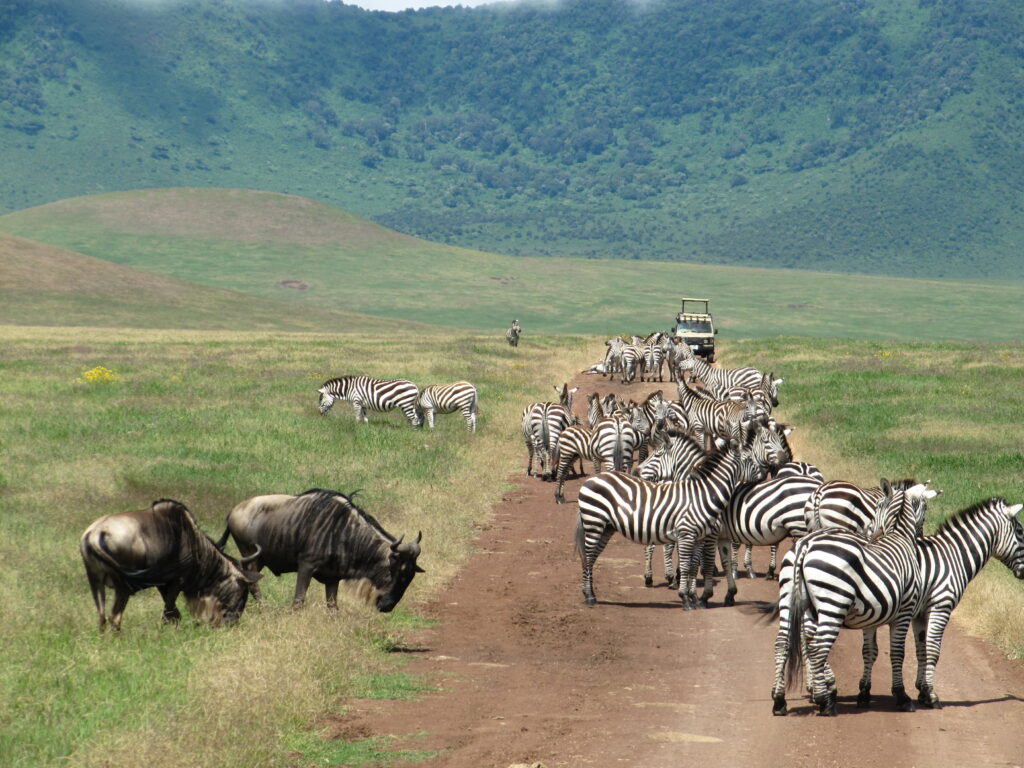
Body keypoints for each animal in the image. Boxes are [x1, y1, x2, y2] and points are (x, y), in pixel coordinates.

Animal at [573, 442, 765, 610]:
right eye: (749, 459)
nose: (763, 476)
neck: (704, 495)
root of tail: (591, 480)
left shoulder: (699, 538)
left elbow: (693, 566)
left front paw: (694, 598)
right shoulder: (687, 534)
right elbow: (688, 565)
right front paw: (685, 598)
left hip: (606, 527)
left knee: (591, 557)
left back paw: (589, 593)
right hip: (594, 523)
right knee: (587, 557)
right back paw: (589, 597)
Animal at [770, 483, 933, 720]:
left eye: (877, 506)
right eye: (926, 507)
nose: (870, 531)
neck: (897, 536)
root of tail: (805, 546)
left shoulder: (875, 611)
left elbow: (870, 650)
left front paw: (865, 693)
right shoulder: (904, 611)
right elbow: (897, 652)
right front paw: (902, 697)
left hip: (789, 596)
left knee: (784, 642)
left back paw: (780, 700)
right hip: (832, 601)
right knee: (818, 647)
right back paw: (824, 702)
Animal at [909, 499, 1019, 708]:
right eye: (1020, 531)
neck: (953, 557)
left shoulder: (920, 613)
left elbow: (921, 651)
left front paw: (921, 691)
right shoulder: (940, 607)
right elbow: (933, 651)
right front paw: (930, 695)